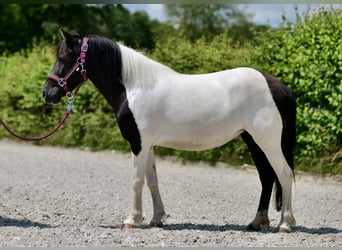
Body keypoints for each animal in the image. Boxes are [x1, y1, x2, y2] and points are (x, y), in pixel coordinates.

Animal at [42, 30, 296, 232]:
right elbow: (152, 181)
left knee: (283, 174)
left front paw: (132, 220)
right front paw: (157, 219)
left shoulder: (138, 144)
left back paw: (284, 224)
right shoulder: (148, 145)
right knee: (267, 178)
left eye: (64, 57)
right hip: (253, 141)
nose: (47, 93)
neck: (134, 88)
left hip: (267, 142)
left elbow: (136, 181)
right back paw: (257, 222)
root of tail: (277, 86)